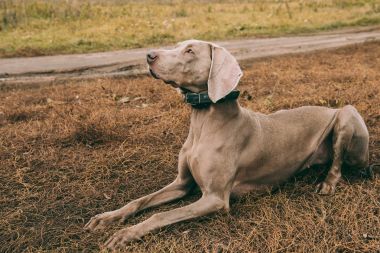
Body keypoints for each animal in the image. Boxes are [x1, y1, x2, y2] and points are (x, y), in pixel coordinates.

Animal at [84, 39, 370, 249]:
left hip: (346, 115)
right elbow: (140, 201)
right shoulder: (181, 183)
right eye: (178, 45)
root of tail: (330, 108)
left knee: (339, 163)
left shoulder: (214, 199)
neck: (203, 122)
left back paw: (327, 183)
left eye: (189, 50)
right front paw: (107, 218)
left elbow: (160, 214)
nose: (148, 55)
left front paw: (126, 234)